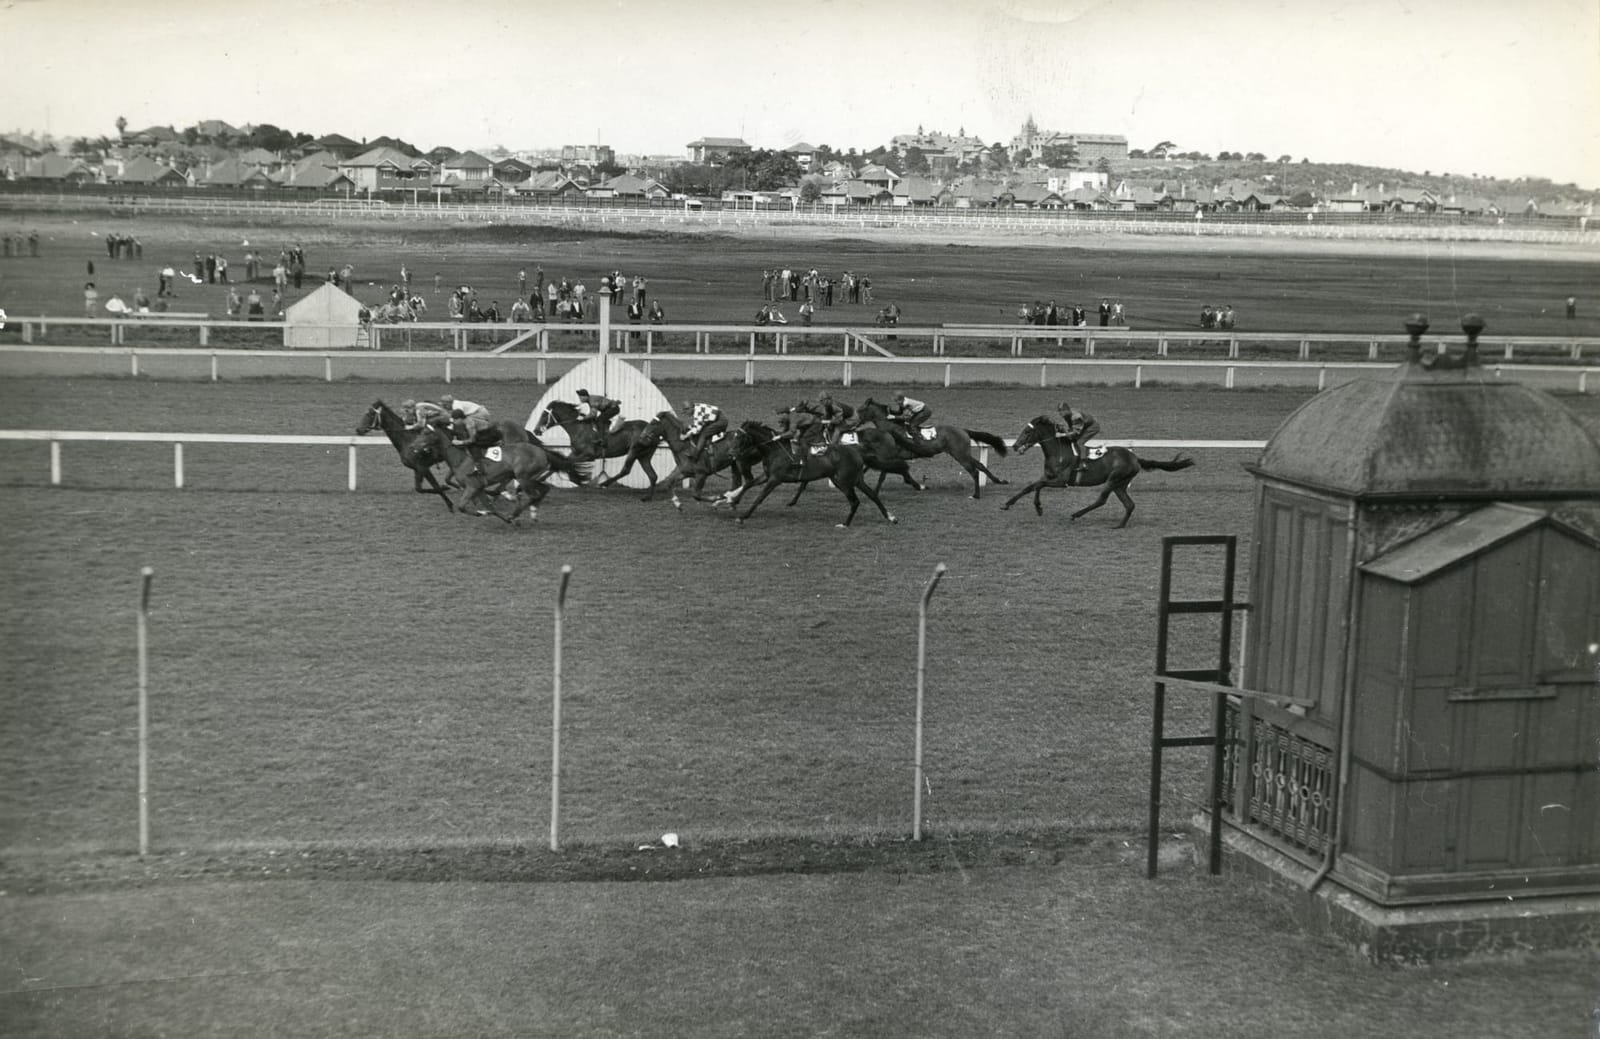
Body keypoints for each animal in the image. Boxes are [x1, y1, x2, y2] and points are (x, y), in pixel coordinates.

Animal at [419, 422, 595, 521]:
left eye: (426, 433)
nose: (415, 446)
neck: (460, 458)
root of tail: (542, 451)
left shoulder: (473, 486)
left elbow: (463, 506)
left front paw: (483, 513)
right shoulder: (478, 488)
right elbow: (489, 506)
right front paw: (489, 512)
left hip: (523, 477)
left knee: (534, 494)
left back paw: (516, 512)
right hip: (530, 478)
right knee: (544, 489)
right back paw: (531, 512)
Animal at [729, 419, 902, 528]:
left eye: (741, 437)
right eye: (734, 436)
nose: (732, 453)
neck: (775, 449)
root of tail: (856, 450)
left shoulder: (775, 479)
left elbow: (759, 497)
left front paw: (742, 517)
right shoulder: (767, 475)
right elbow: (748, 484)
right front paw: (733, 500)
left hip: (843, 481)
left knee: (855, 501)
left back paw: (845, 524)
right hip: (855, 479)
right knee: (872, 495)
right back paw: (891, 517)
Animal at [857, 397, 1004, 499]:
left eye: (860, 410)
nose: (855, 423)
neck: (890, 430)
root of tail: (962, 430)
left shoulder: (889, 456)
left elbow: (883, 476)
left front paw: (875, 492)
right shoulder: (885, 456)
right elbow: (871, 468)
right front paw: (920, 486)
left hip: (960, 455)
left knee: (974, 471)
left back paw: (976, 495)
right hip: (963, 453)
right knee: (980, 465)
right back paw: (999, 481)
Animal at [1004, 416, 1196, 528]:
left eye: (1027, 431)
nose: (1015, 446)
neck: (1058, 451)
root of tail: (1135, 458)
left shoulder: (1061, 482)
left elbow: (1039, 486)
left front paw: (1038, 507)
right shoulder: (1049, 476)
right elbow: (1031, 486)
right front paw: (1008, 503)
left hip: (1113, 480)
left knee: (1101, 500)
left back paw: (1076, 514)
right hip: (1120, 485)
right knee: (1129, 505)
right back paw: (1119, 525)